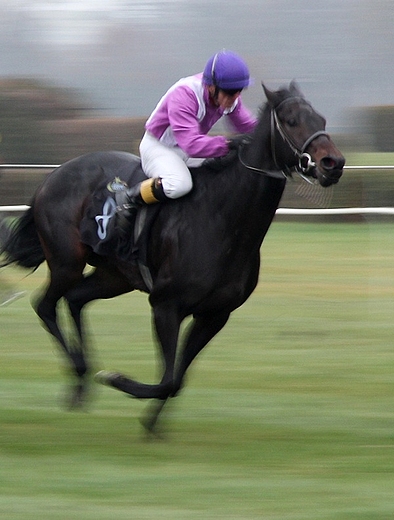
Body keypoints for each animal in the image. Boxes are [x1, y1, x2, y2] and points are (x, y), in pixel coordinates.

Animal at [0, 81, 344, 430]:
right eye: (291, 121)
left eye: (321, 119)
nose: (333, 163)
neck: (223, 220)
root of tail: (51, 177)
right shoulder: (166, 305)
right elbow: (166, 379)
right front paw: (117, 380)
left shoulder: (215, 314)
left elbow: (176, 381)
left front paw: (151, 425)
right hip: (67, 262)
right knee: (46, 305)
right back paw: (81, 373)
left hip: (115, 276)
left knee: (75, 299)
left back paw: (81, 383)